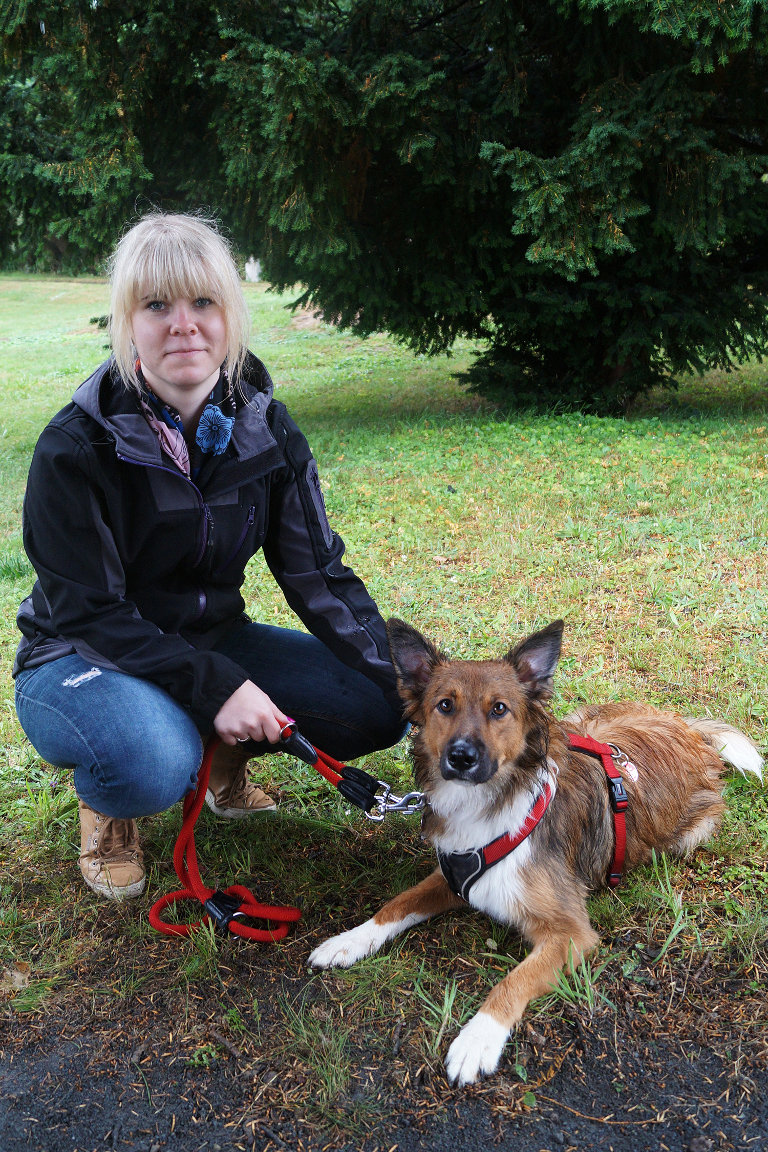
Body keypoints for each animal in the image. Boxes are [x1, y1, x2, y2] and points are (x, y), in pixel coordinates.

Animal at [310, 617, 764, 1082]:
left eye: (499, 709)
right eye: (444, 705)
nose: (461, 757)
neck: (490, 800)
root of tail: (690, 732)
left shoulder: (570, 934)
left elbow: (513, 980)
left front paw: (477, 1040)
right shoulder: (452, 874)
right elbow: (397, 904)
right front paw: (348, 941)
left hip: (691, 829)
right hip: (581, 723)